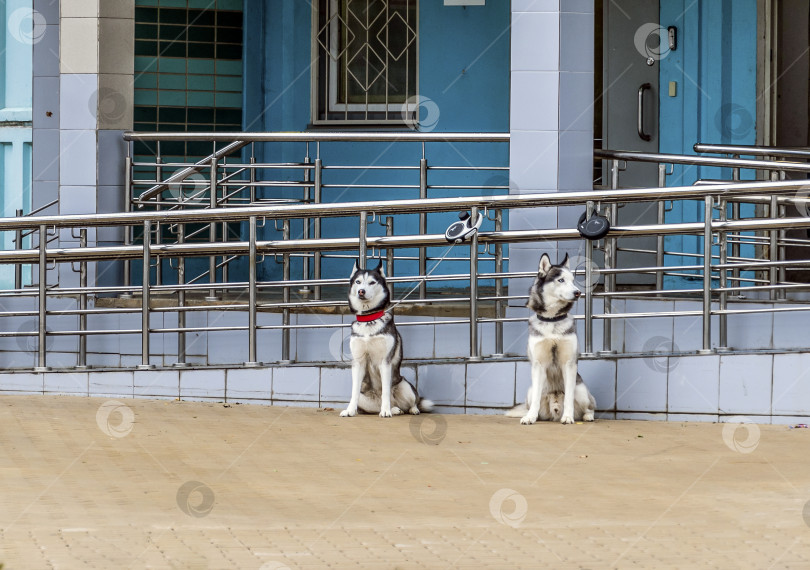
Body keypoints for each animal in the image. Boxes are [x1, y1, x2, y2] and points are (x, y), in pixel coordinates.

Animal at [338, 260, 432, 414]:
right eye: (358, 282)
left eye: (372, 282)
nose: (361, 291)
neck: (369, 319)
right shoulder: (358, 361)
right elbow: (354, 391)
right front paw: (350, 411)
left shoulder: (385, 361)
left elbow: (386, 391)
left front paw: (386, 412)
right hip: (365, 399)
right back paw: (393, 409)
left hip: (405, 386)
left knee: (413, 401)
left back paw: (407, 409)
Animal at [504, 252, 592, 422]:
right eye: (561, 280)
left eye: (572, 280)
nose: (578, 292)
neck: (552, 320)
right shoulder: (538, 365)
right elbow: (536, 400)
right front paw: (530, 418)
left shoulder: (569, 364)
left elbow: (569, 396)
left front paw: (568, 417)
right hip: (530, 392)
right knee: (534, 401)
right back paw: (531, 415)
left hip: (582, 392)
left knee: (589, 407)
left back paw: (587, 416)